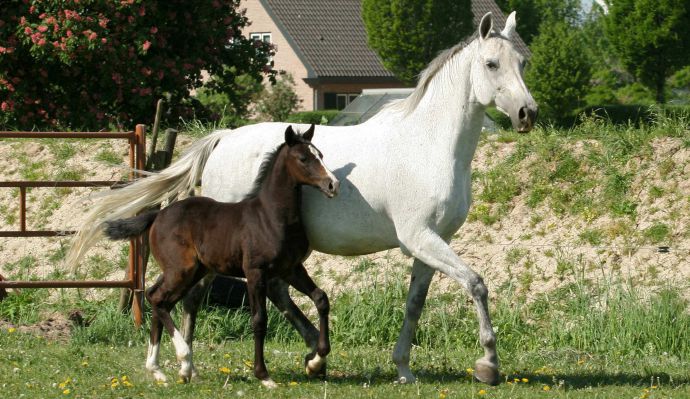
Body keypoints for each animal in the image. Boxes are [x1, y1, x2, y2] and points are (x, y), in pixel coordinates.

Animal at [103, 125, 338, 388]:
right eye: (303, 158)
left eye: (320, 155)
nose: (332, 184)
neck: (271, 217)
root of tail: (158, 215)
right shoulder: (255, 272)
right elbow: (259, 320)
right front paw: (263, 375)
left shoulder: (292, 268)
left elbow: (321, 298)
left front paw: (316, 360)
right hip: (181, 270)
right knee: (158, 299)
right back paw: (183, 360)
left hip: (191, 271)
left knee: (160, 300)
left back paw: (159, 369)